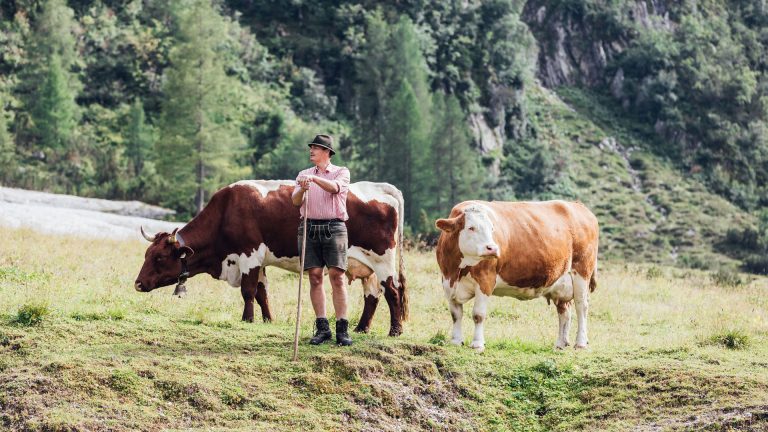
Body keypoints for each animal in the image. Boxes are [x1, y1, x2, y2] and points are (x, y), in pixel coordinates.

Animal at [134, 181, 408, 336]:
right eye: (146, 254)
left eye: (159, 257)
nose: (138, 283)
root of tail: (382, 187)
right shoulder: (259, 262)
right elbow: (261, 292)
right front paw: (267, 320)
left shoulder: (249, 256)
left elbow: (247, 291)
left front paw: (247, 319)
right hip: (366, 266)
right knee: (372, 296)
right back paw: (361, 328)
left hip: (383, 260)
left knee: (393, 292)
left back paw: (395, 331)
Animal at [436, 199, 596, 352]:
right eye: (471, 227)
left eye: (492, 229)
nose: (492, 248)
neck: (456, 271)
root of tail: (577, 205)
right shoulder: (447, 283)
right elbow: (456, 314)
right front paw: (456, 341)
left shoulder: (485, 280)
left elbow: (478, 315)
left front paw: (477, 344)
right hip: (562, 282)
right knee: (564, 311)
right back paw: (560, 344)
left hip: (582, 272)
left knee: (581, 306)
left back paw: (581, 343)